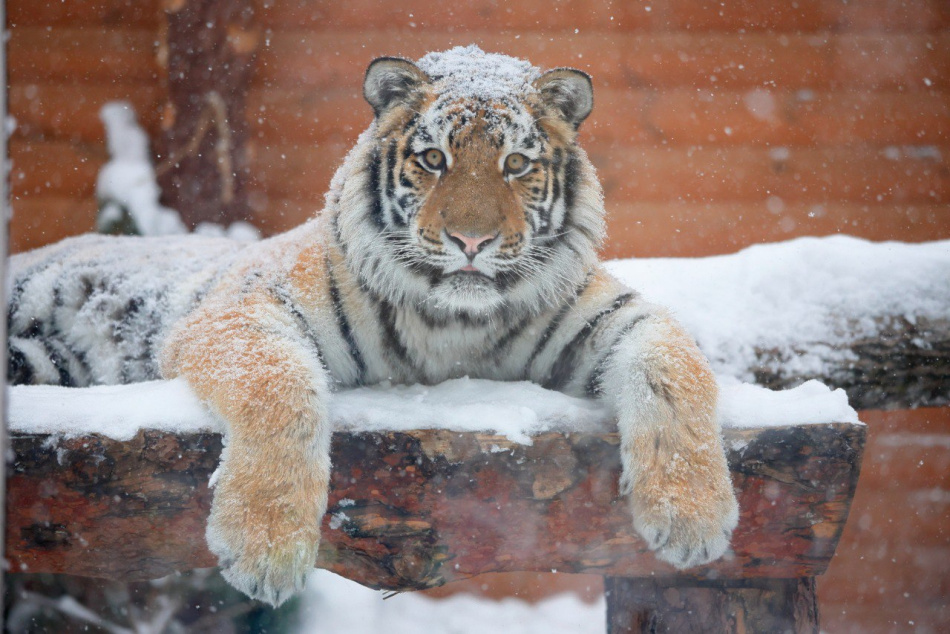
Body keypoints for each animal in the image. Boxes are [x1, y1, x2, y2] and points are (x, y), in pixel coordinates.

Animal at [7, 47, 744, 604]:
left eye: (515, 164)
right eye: (434, 159)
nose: (471, 241)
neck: (452, 322)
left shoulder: (616, 317)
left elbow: (677, 372)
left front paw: (694, 521)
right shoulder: (242, 310)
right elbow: (280, 387)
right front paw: (265, 550)